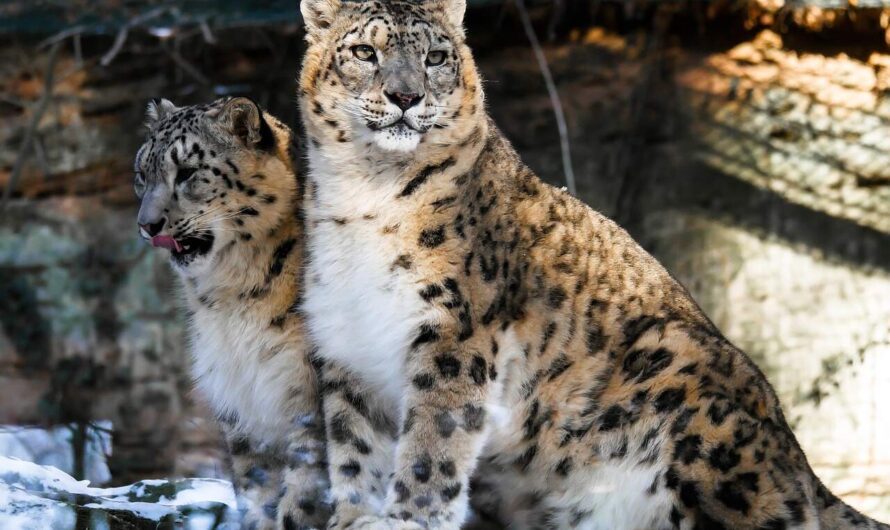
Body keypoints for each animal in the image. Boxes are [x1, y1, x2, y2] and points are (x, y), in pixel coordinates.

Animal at [137, 96, 332, 528]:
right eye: (141, 174)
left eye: (187, 171)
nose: (147, 224)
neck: (231, 301)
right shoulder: (239, 403)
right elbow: (255, 488)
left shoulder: (309, 399)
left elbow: (305, 493)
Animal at [296, 1, 880, 528]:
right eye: (365, 52)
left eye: (436, 57)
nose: (405, 96)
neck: (367, 194)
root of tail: (802, 463)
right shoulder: (347, 338)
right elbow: (353, 443)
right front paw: (353, 516)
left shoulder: (454, 329)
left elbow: (433, 436)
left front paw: (409, 517)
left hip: (694, 409)